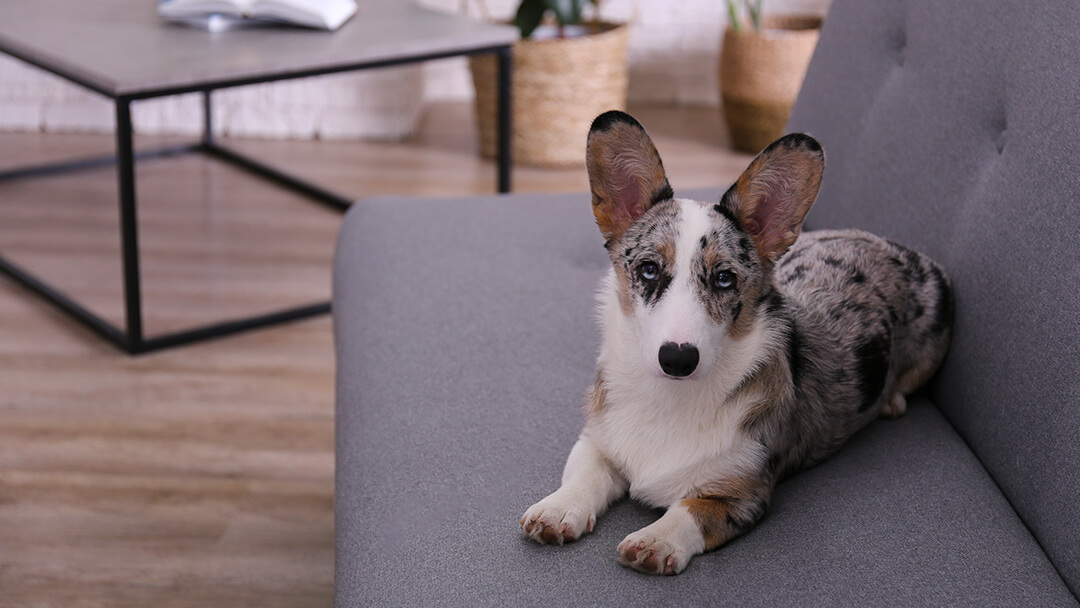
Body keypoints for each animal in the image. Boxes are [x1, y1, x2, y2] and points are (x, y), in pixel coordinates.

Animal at [520, 110, 954, 574]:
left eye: (725, 278)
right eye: (649, 269)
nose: (677, 359)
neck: (669, 398)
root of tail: (899, 248)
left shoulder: (741, 493)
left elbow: (690, 510)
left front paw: (655, 540)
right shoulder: (598, 439)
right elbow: (586, 472)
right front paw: (558, 509)